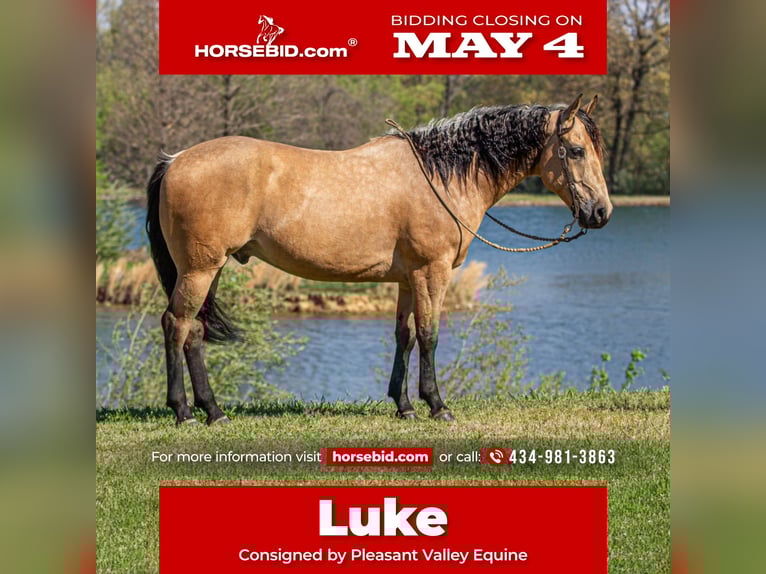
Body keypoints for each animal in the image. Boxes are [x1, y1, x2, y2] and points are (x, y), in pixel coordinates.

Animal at [145, 94, 611, 426]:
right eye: (575, 150)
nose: (601, 213)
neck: (440, 175)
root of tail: (175, 160)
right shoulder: (431, 273)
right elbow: (429, 335)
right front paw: (436, 404)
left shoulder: (407, 279)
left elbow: (404, 337)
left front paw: (404, 405)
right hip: (200, 270)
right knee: (176, 325)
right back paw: (184, 411)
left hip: (211, 269)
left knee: (194, 331)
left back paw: (213, 411)